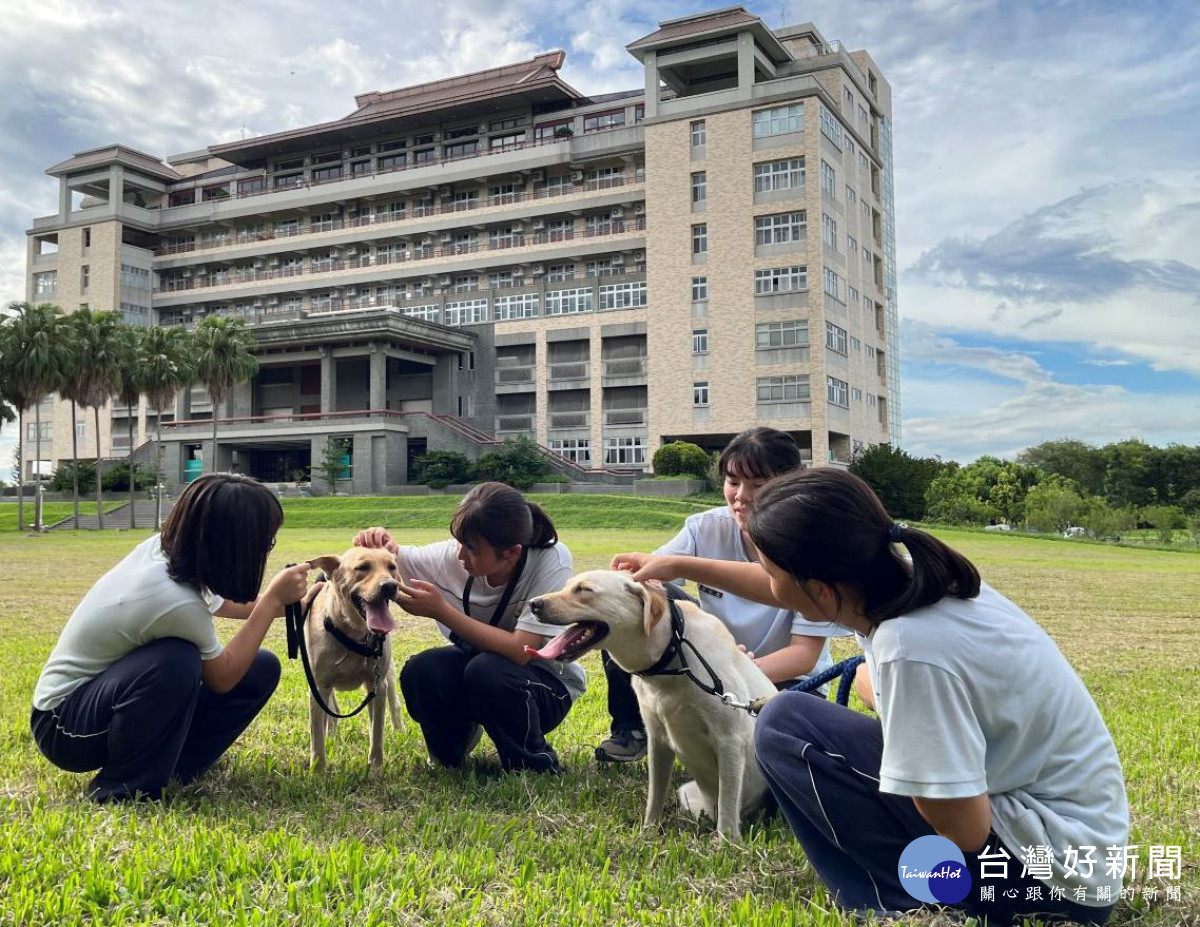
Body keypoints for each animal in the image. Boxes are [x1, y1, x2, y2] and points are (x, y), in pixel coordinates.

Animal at [304, 542, 408, 773]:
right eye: (362, 567)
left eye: (392, 567)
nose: (390, 586)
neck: (353, 635)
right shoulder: (319, 687)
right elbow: (317, 738)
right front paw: (318, 772)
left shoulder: (377, 686)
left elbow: (376, 733)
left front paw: (376, 771)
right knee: (333, 711)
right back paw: (331, 736)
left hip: (389, 675)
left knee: (395, 705)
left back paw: (399, 731)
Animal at [528, 569, 772, 845]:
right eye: (566, 586)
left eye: (584, 590)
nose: (533, 604)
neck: (672, 656)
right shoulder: (658, 740)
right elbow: (655, 796)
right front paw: (648, 832)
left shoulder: (730, 739)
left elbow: (728, 803)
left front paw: (727, 843)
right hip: (688, 793)